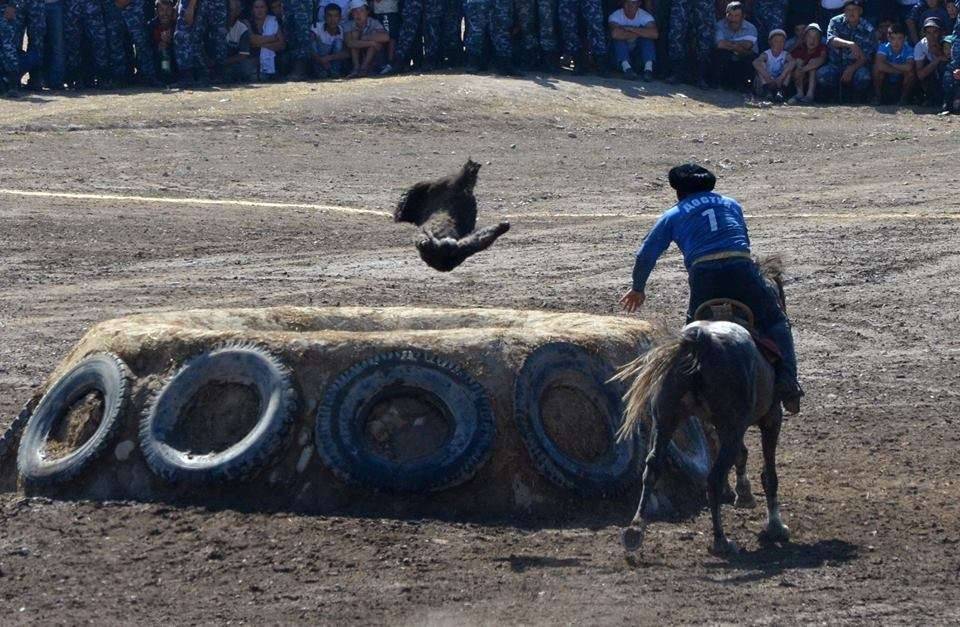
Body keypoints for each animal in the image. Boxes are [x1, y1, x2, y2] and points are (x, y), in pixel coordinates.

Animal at [620, 258, 792, 556]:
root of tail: (701, 340)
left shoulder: (715, 425)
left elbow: (742, 455)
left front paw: (743, 494)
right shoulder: (771, 418)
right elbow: (768, 473)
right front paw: (775, 526)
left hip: (665, 420)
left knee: (652, 467)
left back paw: (635, 531)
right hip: (730, 425)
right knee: (713, 477)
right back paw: (721, 540)